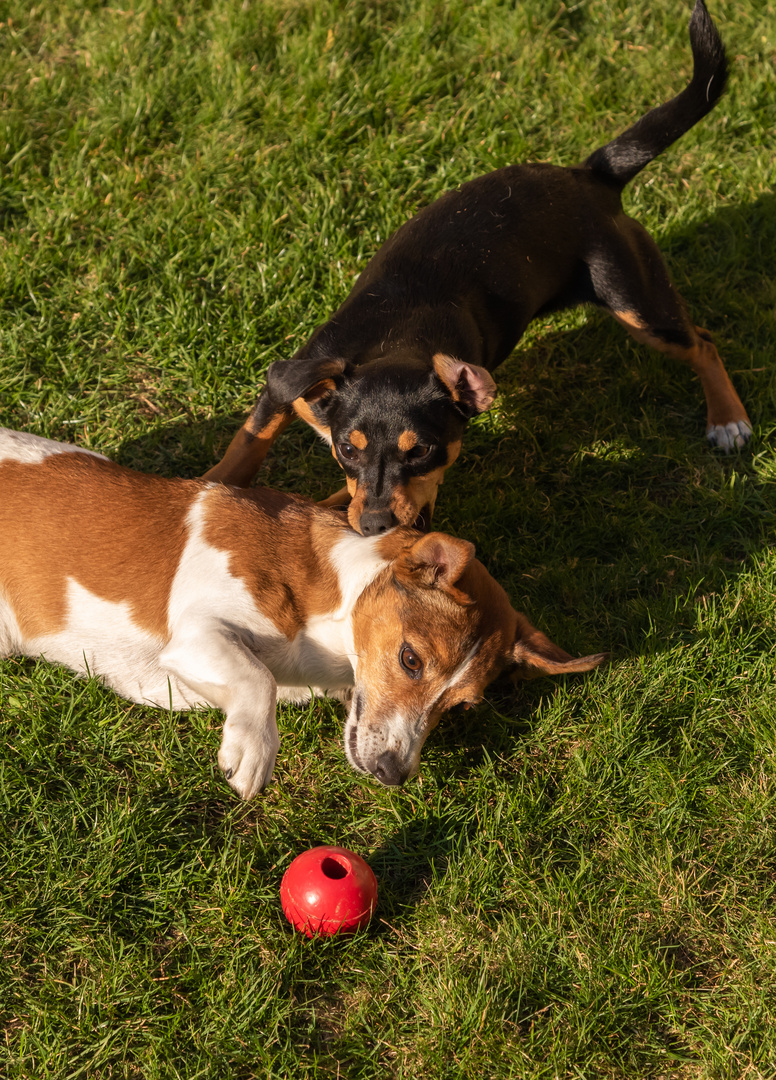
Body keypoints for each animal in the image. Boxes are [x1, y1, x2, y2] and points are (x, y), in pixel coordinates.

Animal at [0, 427, 608, 794]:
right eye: (411, 660)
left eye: (461, 707)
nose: (393, 774)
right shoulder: (197, 634)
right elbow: (257, 677)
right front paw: (252, 749)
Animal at [208, 1, 751, 535]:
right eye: (346, 448)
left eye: (422, 451)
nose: (377, 525)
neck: (395, 339)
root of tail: (592, 175)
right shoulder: (289, 385)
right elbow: (248, 441)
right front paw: (213, 484)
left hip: (634, 299)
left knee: (702, 341)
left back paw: (728, 421)